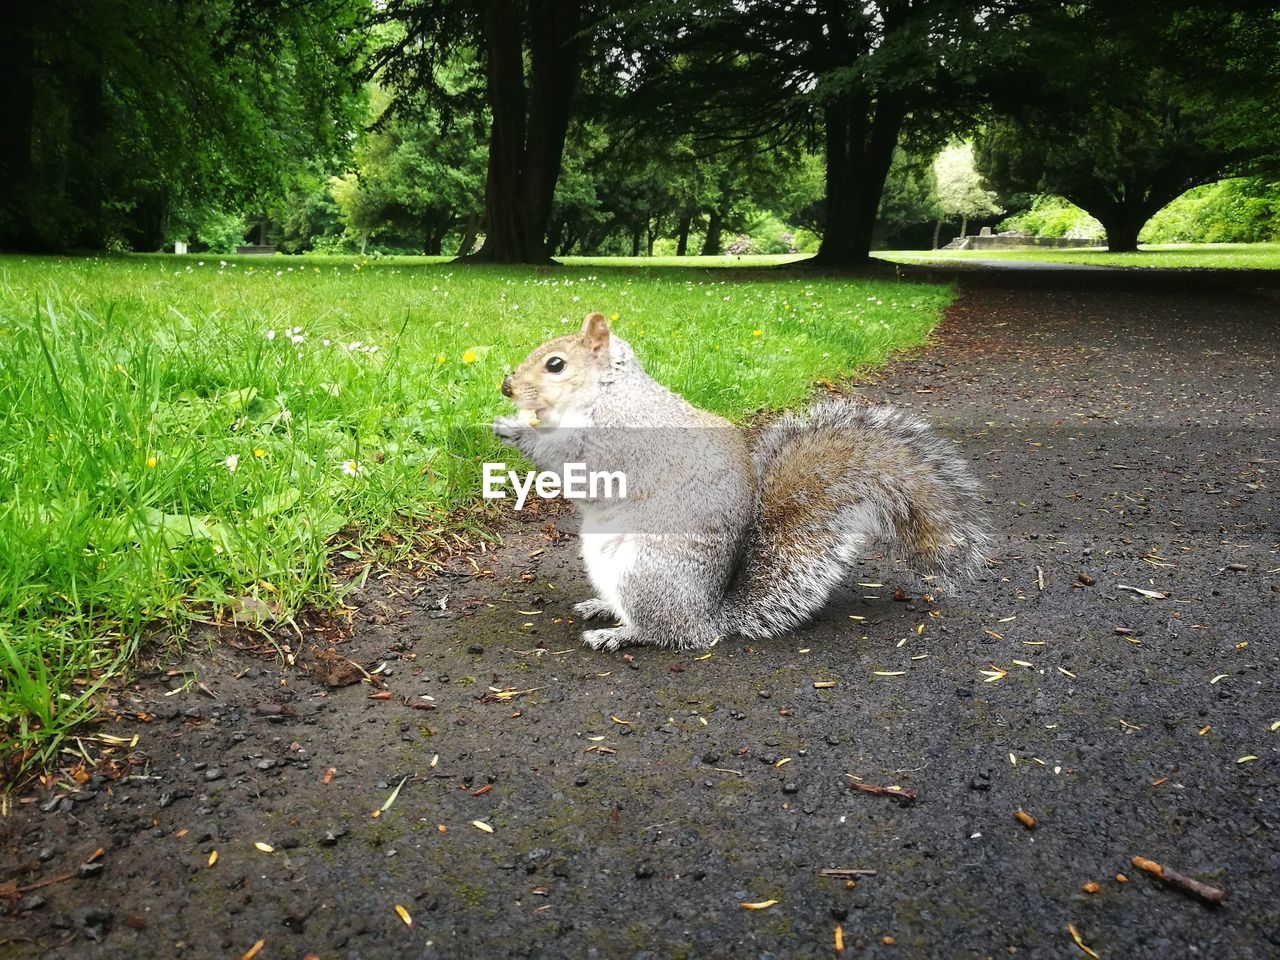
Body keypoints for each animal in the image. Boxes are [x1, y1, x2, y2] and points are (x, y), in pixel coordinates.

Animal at [488, 309, 988, 655]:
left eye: (556, 365)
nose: (506, 387)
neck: (607, 392)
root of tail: (711, 616)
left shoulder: (616, 441)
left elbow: (571, 463)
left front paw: (516, 429)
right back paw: (600, 607)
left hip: (646, 572)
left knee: (666, 632)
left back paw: (620, 634)